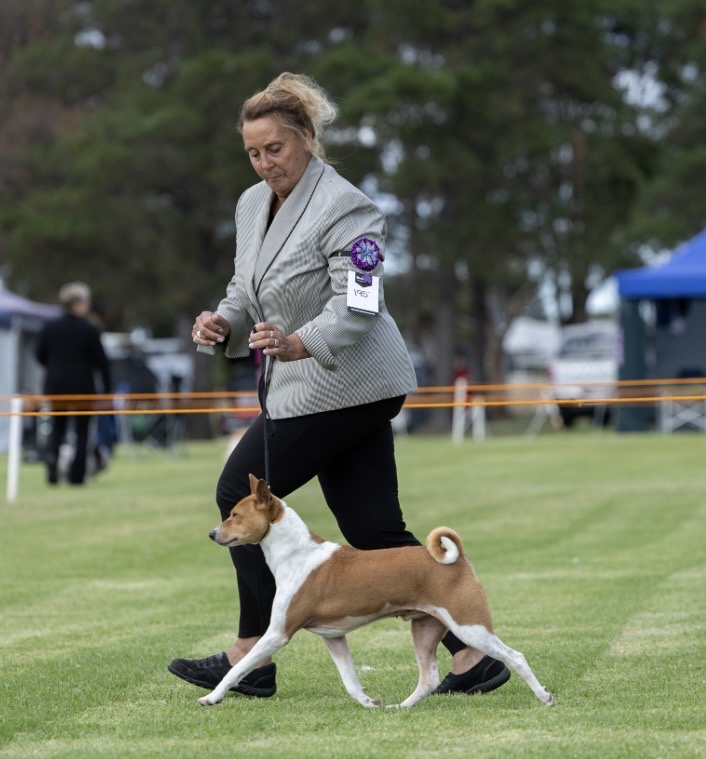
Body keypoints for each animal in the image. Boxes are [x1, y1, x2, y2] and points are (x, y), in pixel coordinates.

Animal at [198, 475, 554, 709]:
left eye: (235, 515)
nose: (212, 533)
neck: (296, 555)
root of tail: (460, 559)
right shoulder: (334, 636)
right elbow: (351, 680)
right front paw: (368, 702)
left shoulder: (278, 633)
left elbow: (238, 668)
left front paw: (212, 696)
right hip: (425, 626)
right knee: (428, 677)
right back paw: (402, 707)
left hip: (469, 625)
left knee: (515, 656)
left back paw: (543, 696)